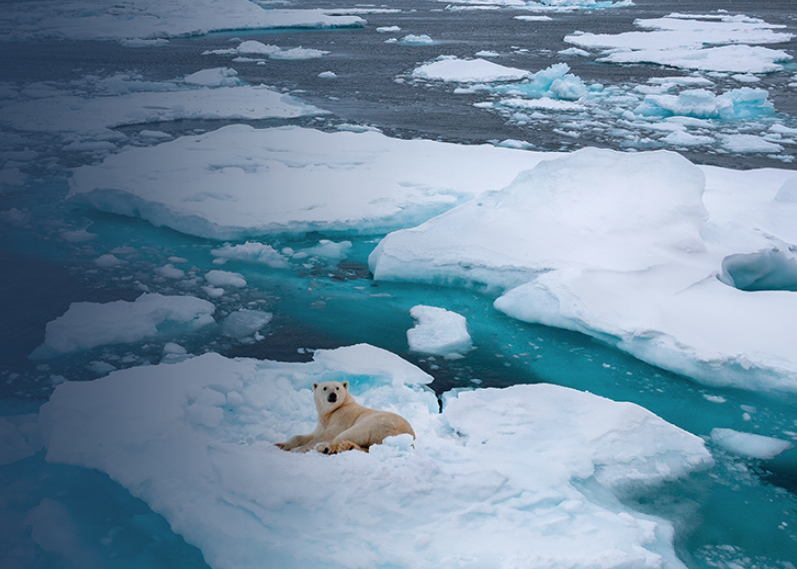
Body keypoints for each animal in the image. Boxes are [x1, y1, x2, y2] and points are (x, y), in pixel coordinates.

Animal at [275, 380, 415, 454]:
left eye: (337, 388)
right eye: (324, 388)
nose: (333, 395)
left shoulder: (343, 417)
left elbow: (327, 435)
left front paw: (297, 449)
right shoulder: (322, 422)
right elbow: (307, 435)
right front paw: (281, 445)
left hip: (376, 423)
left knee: (352, 433)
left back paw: (325, 447)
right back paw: (349, 447)